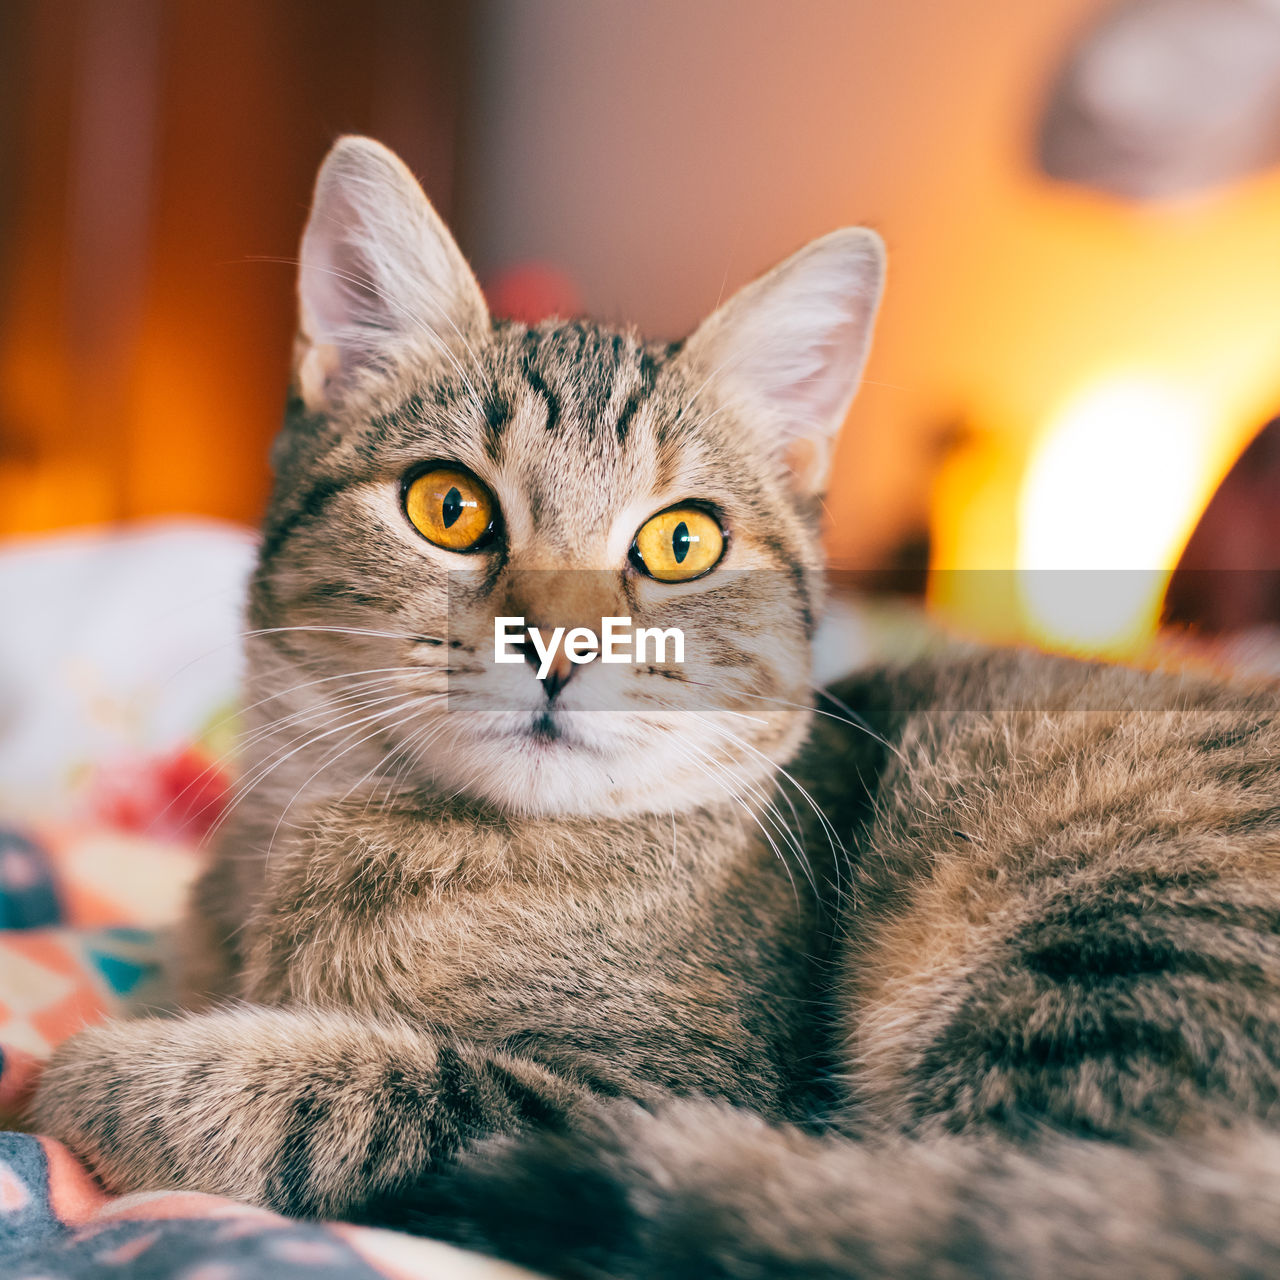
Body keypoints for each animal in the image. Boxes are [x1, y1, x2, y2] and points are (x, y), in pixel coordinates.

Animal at [30, 135, 1280, 1274]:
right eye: (447, 505)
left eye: (681, 541)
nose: (559, 643)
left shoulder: (662, 1088)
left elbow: (361, 1086)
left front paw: (99, 1071)